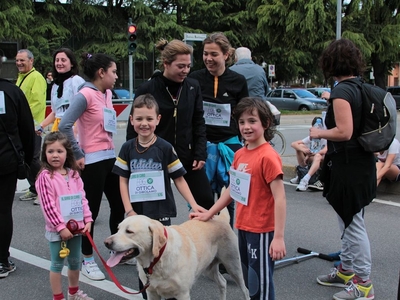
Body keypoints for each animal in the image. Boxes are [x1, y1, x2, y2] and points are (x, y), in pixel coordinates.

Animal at [104, 209, 248, 300]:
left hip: (233, 266)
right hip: (208, 268)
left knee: (245, 289)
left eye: (129, 231)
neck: (157, 261)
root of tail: (220, 218)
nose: (106, 242)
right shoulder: (152, 293)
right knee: (223, 282)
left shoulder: (182, 294)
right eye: (118, 229)